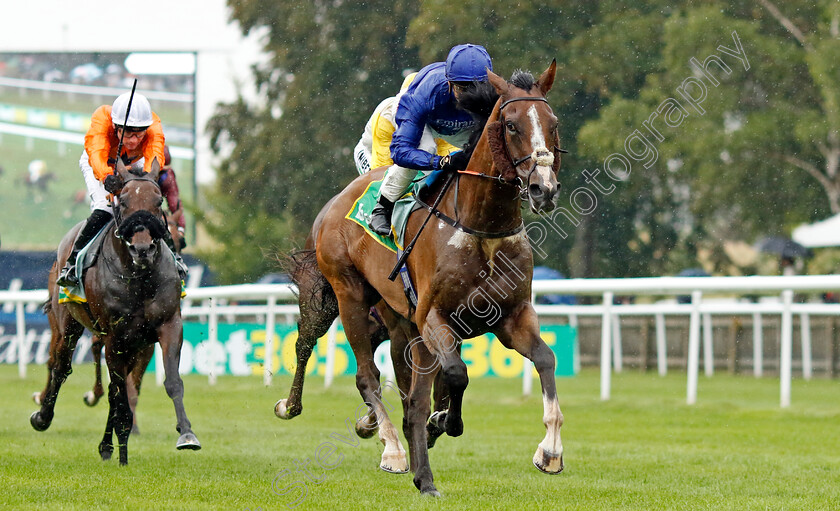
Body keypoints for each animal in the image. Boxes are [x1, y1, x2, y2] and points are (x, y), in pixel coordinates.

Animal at [29, 158, 200, 466]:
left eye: (158, 201)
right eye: (124, 201)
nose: (143, 249)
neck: (139, 278)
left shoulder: (166, 328)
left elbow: (170, 382)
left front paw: (186, 434)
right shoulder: (115, 336)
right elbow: (118, 393)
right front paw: (121, 449)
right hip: (67, 324)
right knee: (60, 366)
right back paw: (43, 416)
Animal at [276, 61, 564, 496]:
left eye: (553, 124)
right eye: (511, 125)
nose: (542, 189)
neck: (481, 228)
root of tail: (336, 203)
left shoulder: (513, 317)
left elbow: (545, 359)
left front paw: (549, 451)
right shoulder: (433, 318)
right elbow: (454, 377)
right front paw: (435, 430)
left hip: (398, 321)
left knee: (403, 381)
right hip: (347, 296)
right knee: (355, 369)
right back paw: (383, 444)